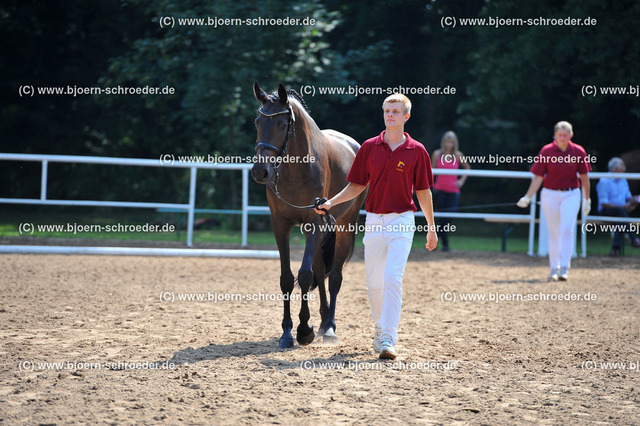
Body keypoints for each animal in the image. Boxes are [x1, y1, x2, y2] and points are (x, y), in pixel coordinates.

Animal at [252, 81, 368, 348]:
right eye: (257, 122)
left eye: (282, 124)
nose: (260, 171)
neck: (296, 167)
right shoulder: (281, 225)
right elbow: (287, 278)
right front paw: (286, 332)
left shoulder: (315, 221)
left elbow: (305, 276)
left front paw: (304, 330)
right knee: (320, 270)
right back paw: (324, 321)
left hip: (344, 226)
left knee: (334, 276)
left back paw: (330, 327)